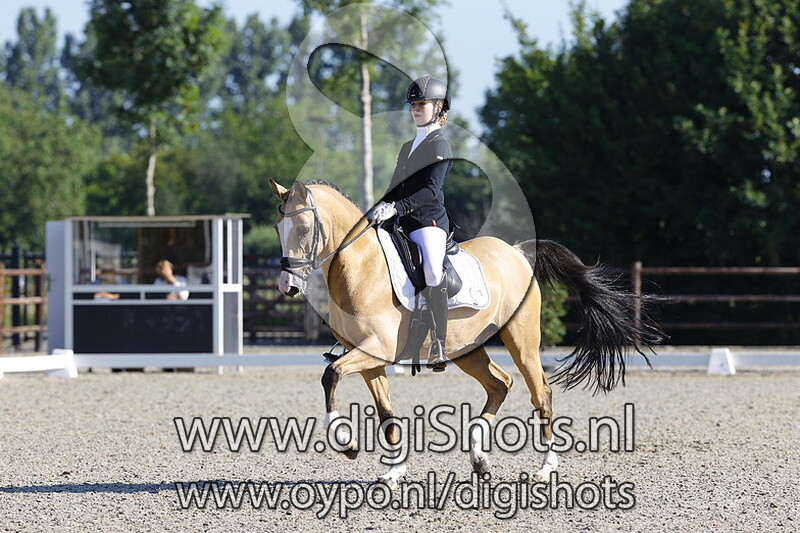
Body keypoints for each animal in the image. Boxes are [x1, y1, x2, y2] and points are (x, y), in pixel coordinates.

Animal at [269, 178, 661, 486]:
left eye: (302, 229)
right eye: (277, 230)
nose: (289, 287)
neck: (363, 268)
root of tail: (516, 252)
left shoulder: (373, 349)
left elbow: (330, 375)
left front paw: (347, 443)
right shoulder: (370, 359)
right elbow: (385, 413)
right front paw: (394, 472)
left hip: (522, 342)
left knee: (541, 393)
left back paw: (546, 467)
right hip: (468, 349)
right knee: (500, 384)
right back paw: (479, 459)